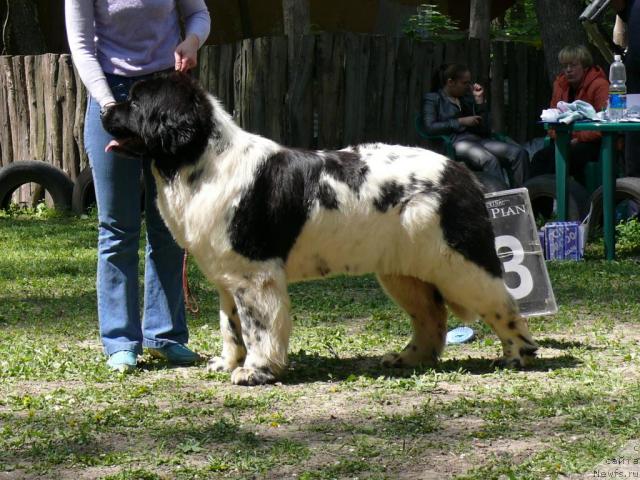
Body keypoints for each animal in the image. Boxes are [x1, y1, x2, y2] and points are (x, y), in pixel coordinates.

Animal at [102, 72, 536, 386]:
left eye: (136, 102)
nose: (105, 110)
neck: (200, 160)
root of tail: (461, 171)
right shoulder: (228, 278)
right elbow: (231, 326)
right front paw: (227, 363)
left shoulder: (254, 275)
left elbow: (258, 327)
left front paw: (255, 371)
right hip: (404, 270)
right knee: (430, 315)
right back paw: (407, 358)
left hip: (457, 260)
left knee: (500, 302)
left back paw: (518, 354)